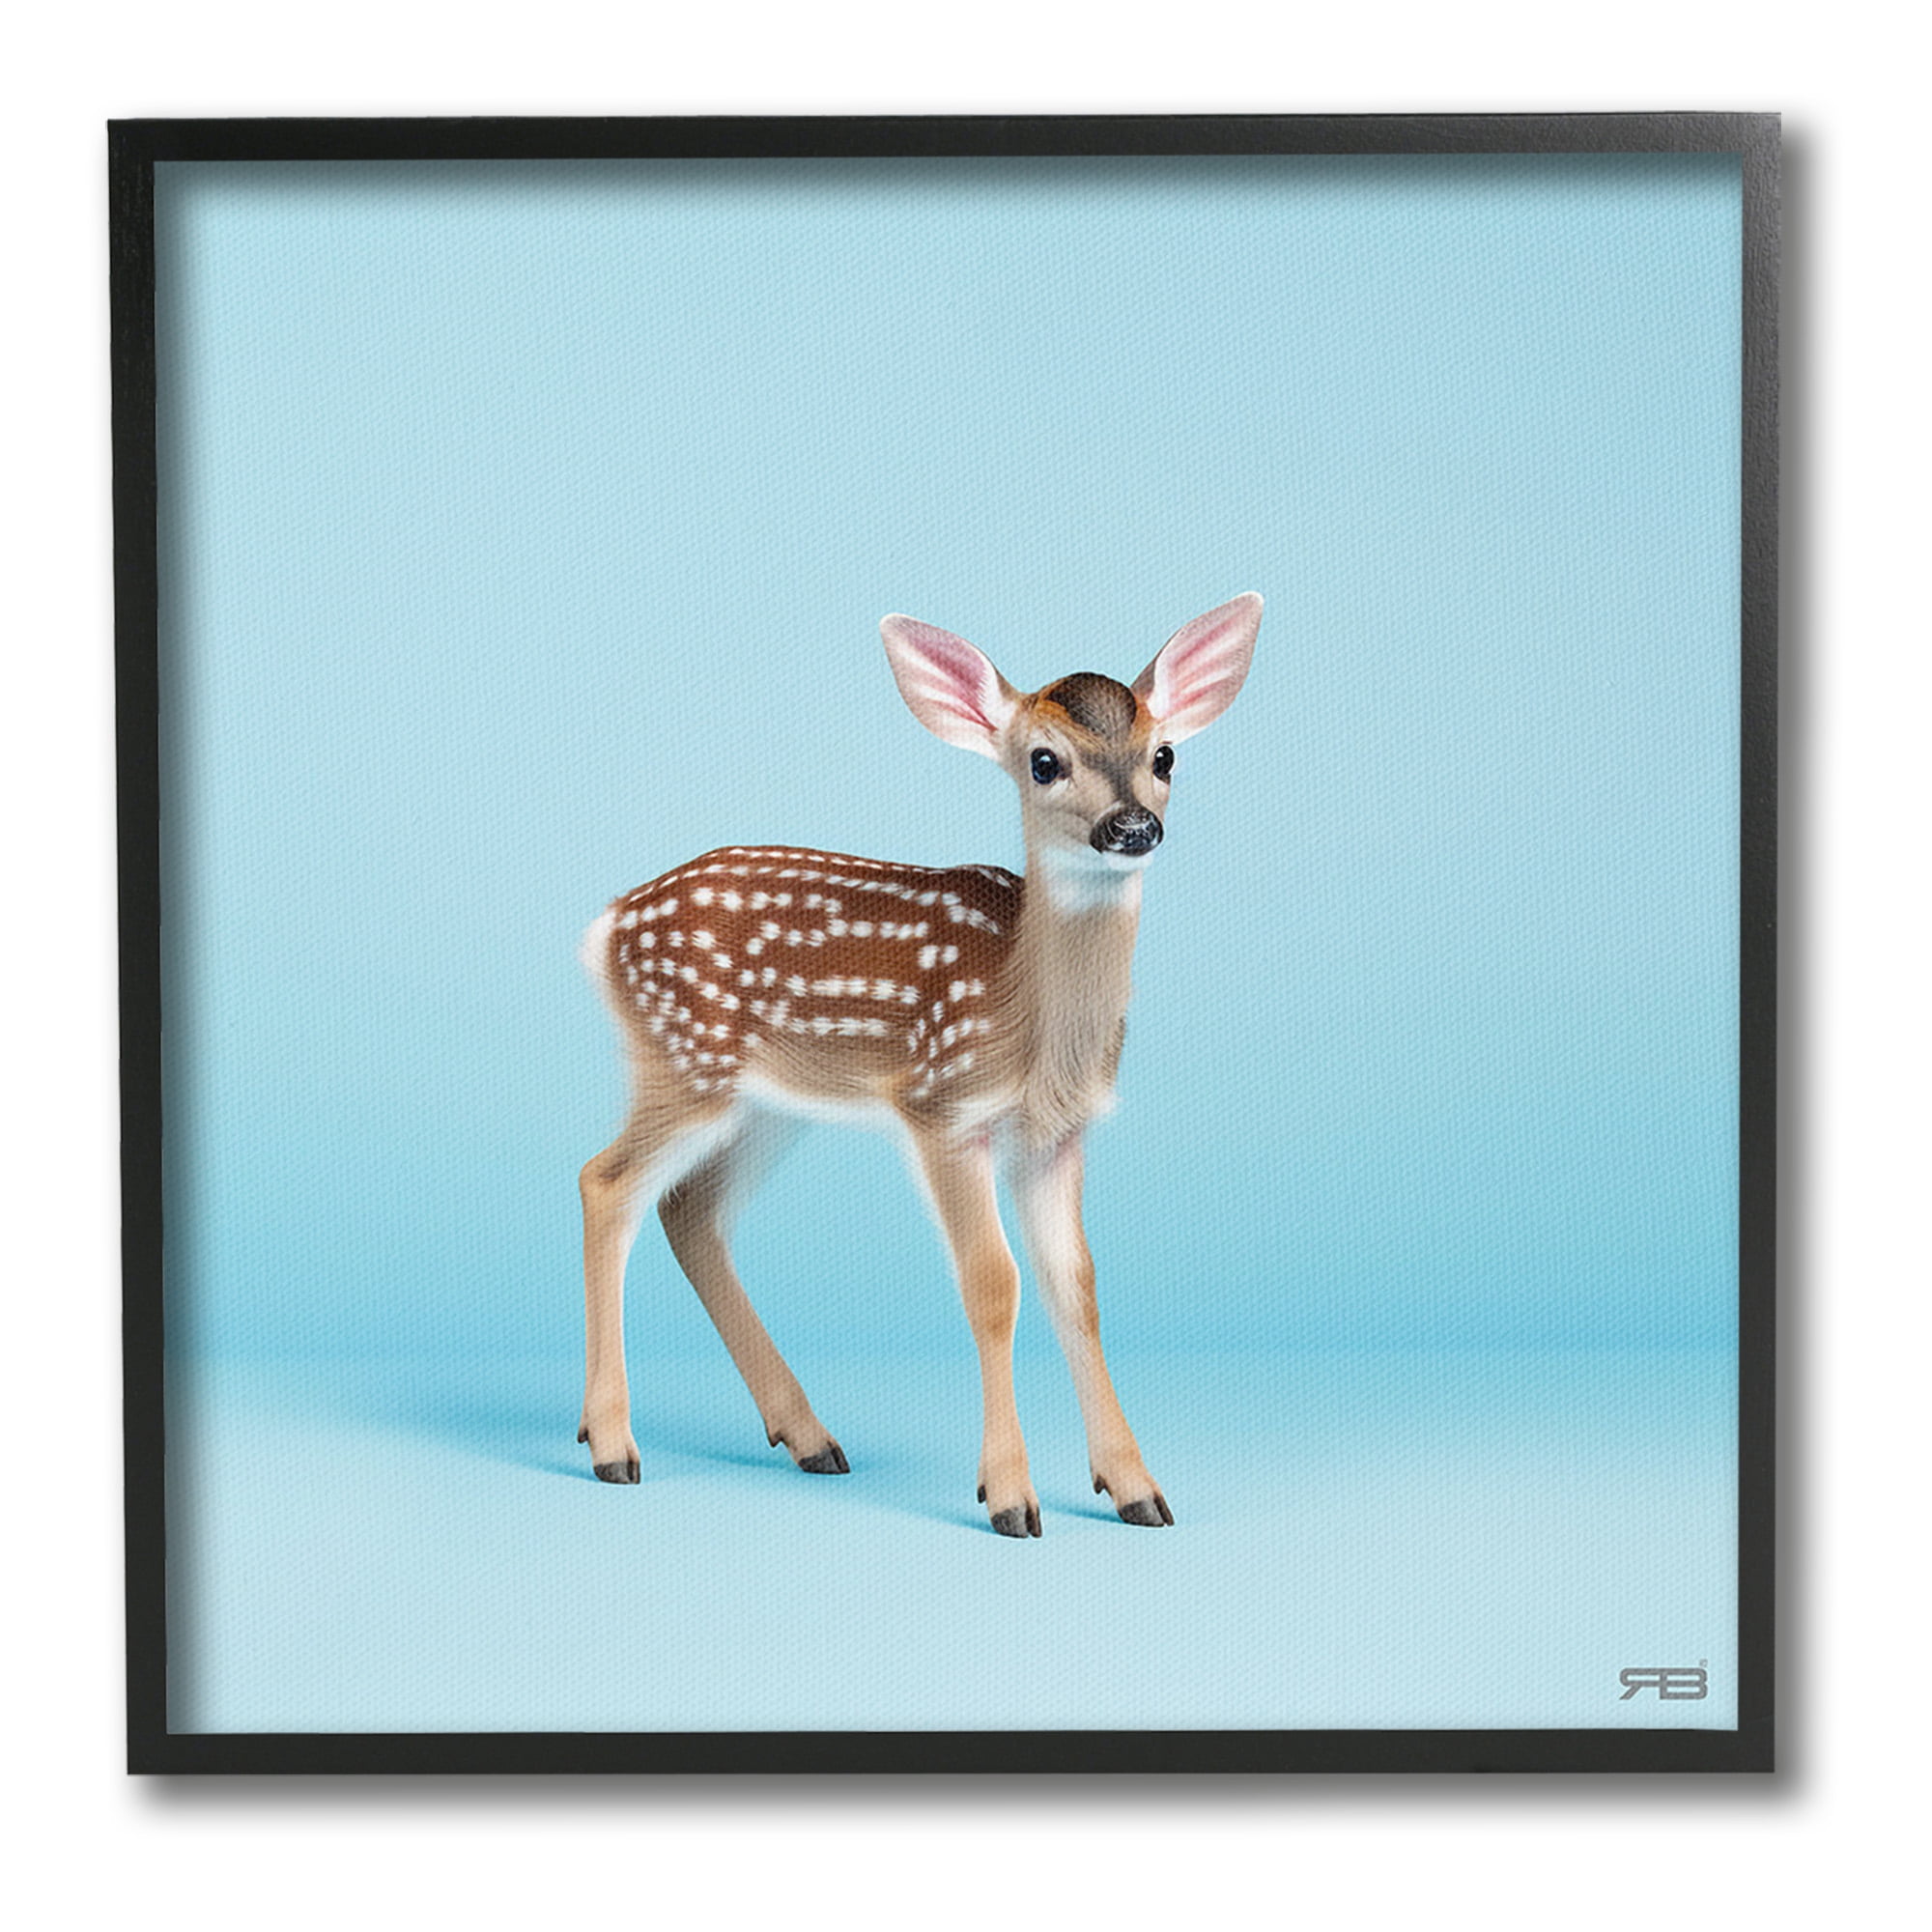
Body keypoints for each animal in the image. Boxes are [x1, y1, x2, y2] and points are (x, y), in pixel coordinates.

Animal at [577, 594, 1261, 1536]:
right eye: (1043, 762)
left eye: (1165, 755)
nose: (1132, 827)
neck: (1030, 1024)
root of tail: (606, 925)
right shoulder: (942, 1105)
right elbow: (993, 1285)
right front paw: (1010, 1496)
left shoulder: (1057, 1136)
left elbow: (1076, 1287)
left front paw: (1135, 1488)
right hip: (684, 1060)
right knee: (605, 1184)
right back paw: (612, 1446)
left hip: (769, 1102)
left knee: (690, 1210)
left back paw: (809, 1437)